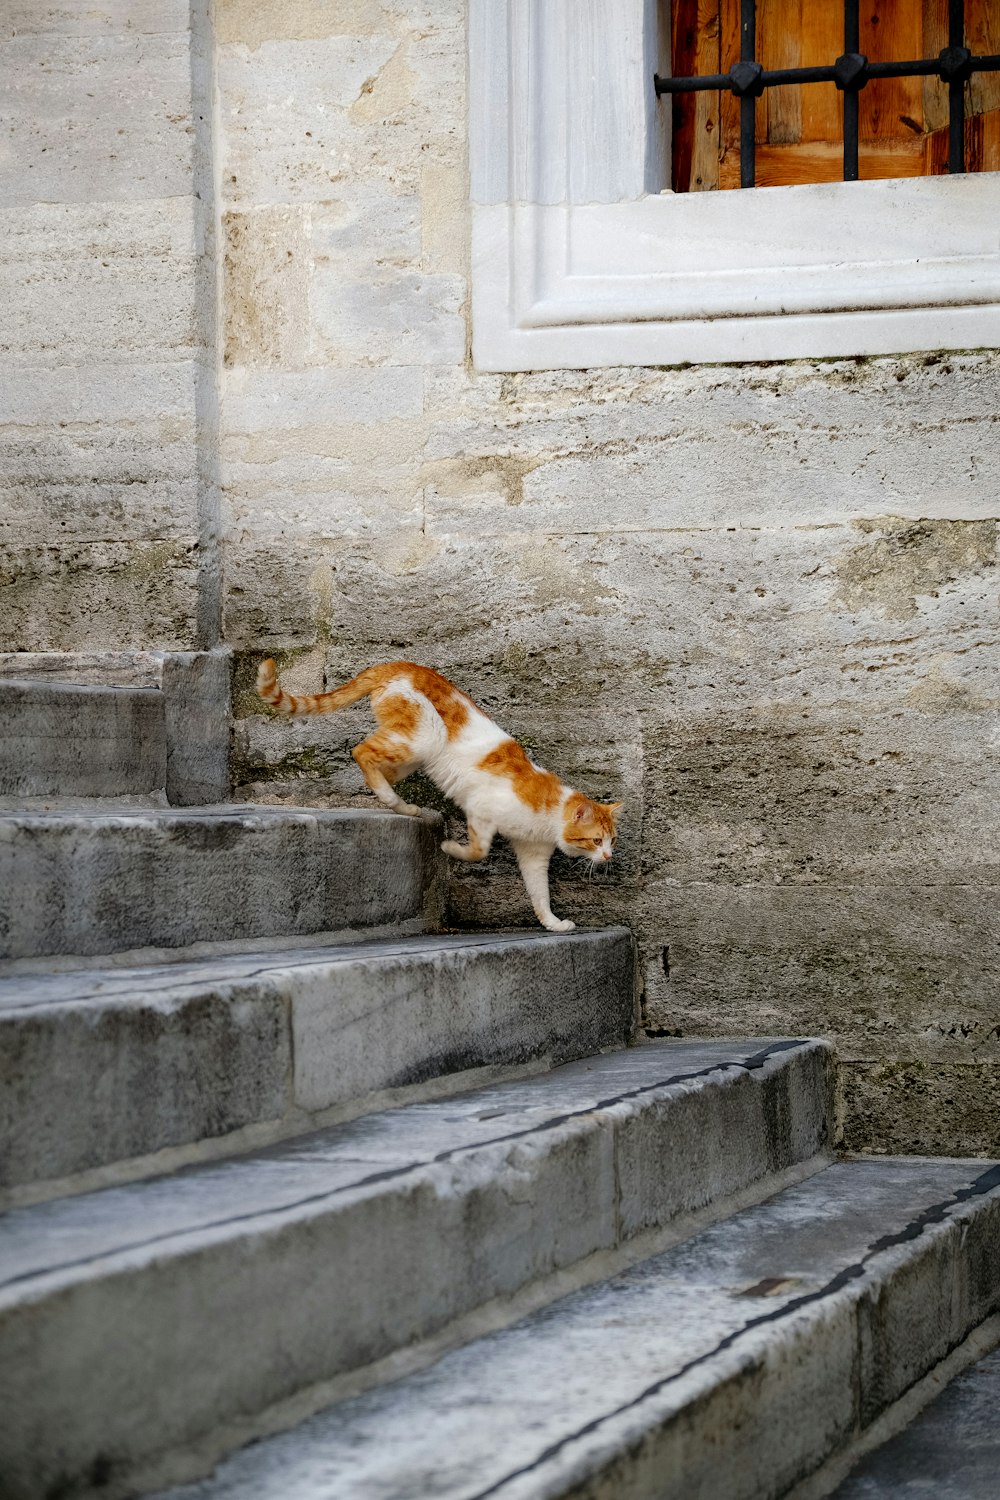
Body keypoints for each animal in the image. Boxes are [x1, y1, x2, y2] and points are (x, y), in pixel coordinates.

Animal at [254, 663, 620, 930]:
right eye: (596, 840)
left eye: (612, 840)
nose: (608, 856)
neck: (548, 814)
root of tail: (399, 663)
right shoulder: (481, 809)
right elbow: (478, 850)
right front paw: (449, 848)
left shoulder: (533, 855)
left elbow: (539, 894)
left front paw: (553, 924)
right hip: (423, 737)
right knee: (361, 751)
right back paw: (394, 801)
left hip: (413, 754)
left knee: (376, 767)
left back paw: (403, 806)